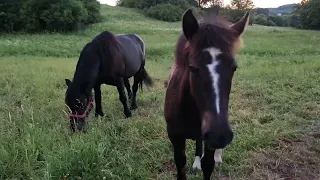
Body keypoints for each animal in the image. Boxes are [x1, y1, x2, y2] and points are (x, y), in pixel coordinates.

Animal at [165, 8, 250, 180]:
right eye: (192, 68)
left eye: (234, 68)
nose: (220, 135)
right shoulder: (176, 140)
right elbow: (181, 165)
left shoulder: (209, 140)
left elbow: (208, 164)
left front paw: (214, 158)